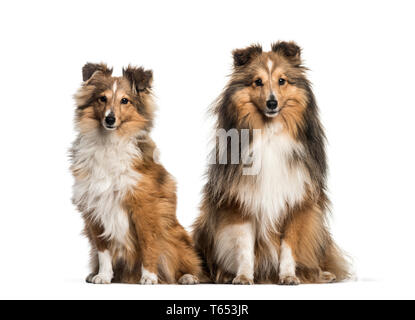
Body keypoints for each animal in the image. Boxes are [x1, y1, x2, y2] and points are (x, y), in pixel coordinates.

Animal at [70, 63, 202, 284]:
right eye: (102, 98)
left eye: (125, 100)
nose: (110, 119)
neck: (109, 142)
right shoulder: (94, 209)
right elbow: (103, 250)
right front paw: (103, 275)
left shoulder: (144, 206)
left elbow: (148, 243)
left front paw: (149, 276)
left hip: (173, 236)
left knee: (189, 263)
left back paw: (187, 277)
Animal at [193, 41, 350, 284]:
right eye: (257, 82)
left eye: (282, 80)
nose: (272, 103)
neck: (270, 132)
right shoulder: (240, 200)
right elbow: (244, 246)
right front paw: (243, 276)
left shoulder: (297, 203)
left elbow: (289, 247)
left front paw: (288, 276)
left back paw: (322, 273)